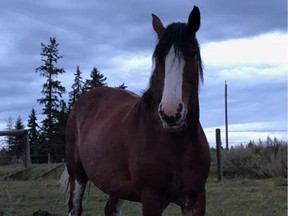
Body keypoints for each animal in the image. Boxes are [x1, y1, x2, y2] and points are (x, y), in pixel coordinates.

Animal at [60, 5, 209, 216]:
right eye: (157, 58)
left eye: (193, 54)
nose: (170, 113)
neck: (177, 144)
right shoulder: (151, 200)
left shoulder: (195, 201)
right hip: (78, 175)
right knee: (75, 207)